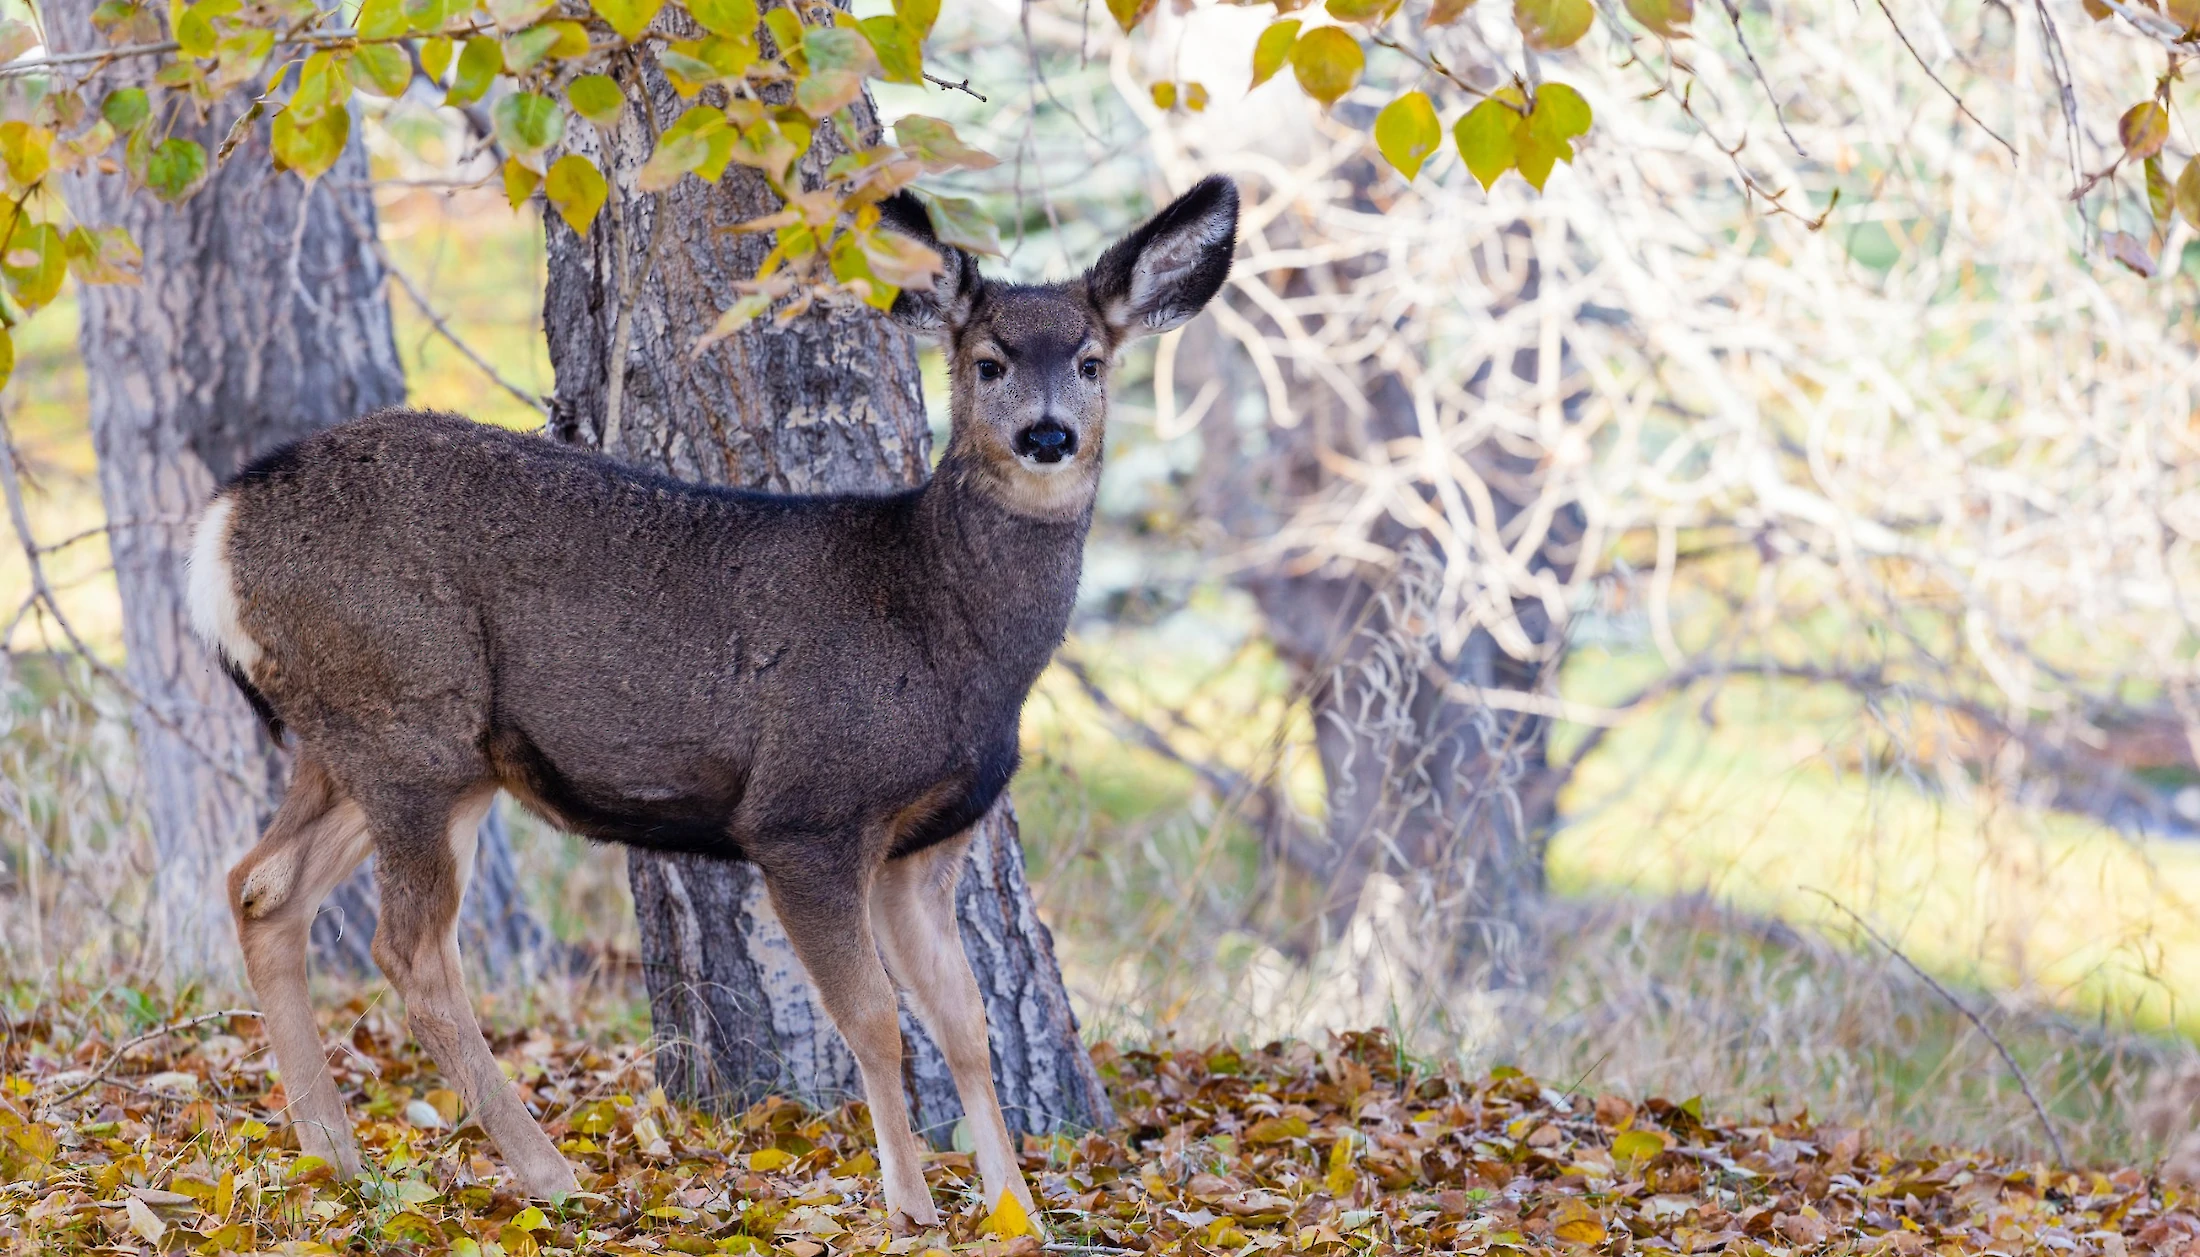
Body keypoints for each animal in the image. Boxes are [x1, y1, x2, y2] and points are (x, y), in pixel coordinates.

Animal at [184, 177, 1240, 1232]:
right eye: (989, 362)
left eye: (1093, 361)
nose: (1048, 435)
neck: (941, 624)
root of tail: (219, 530)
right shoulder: (806, 813)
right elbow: (876, 1021)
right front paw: (910, 1205)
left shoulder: (927, 844)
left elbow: (965, 1023)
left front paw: (1014, 1207)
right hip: (412, 723)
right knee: (408, 950)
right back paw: (548, 1175)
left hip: (357, 740)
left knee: (260, 886)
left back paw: (334, 1156)